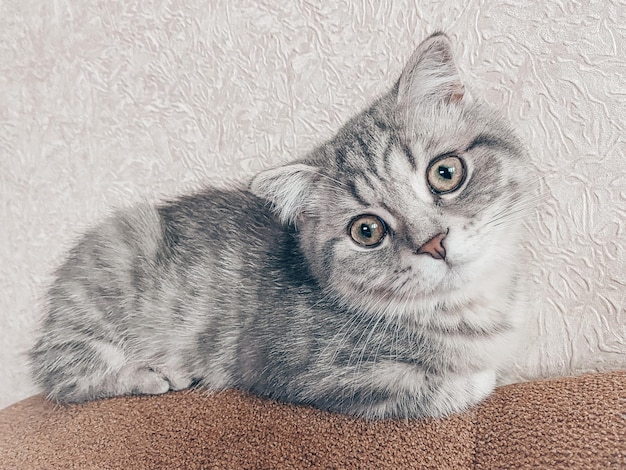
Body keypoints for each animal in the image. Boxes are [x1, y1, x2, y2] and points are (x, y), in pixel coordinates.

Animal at [29, 35, 532, 420]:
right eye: (367, 231)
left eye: (445, 173)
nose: (433, 242)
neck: (465, 308)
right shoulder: (310, 371)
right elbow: (444, 387)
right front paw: (485, 375)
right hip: (114, 258)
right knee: (62, 379)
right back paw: (151, 375)